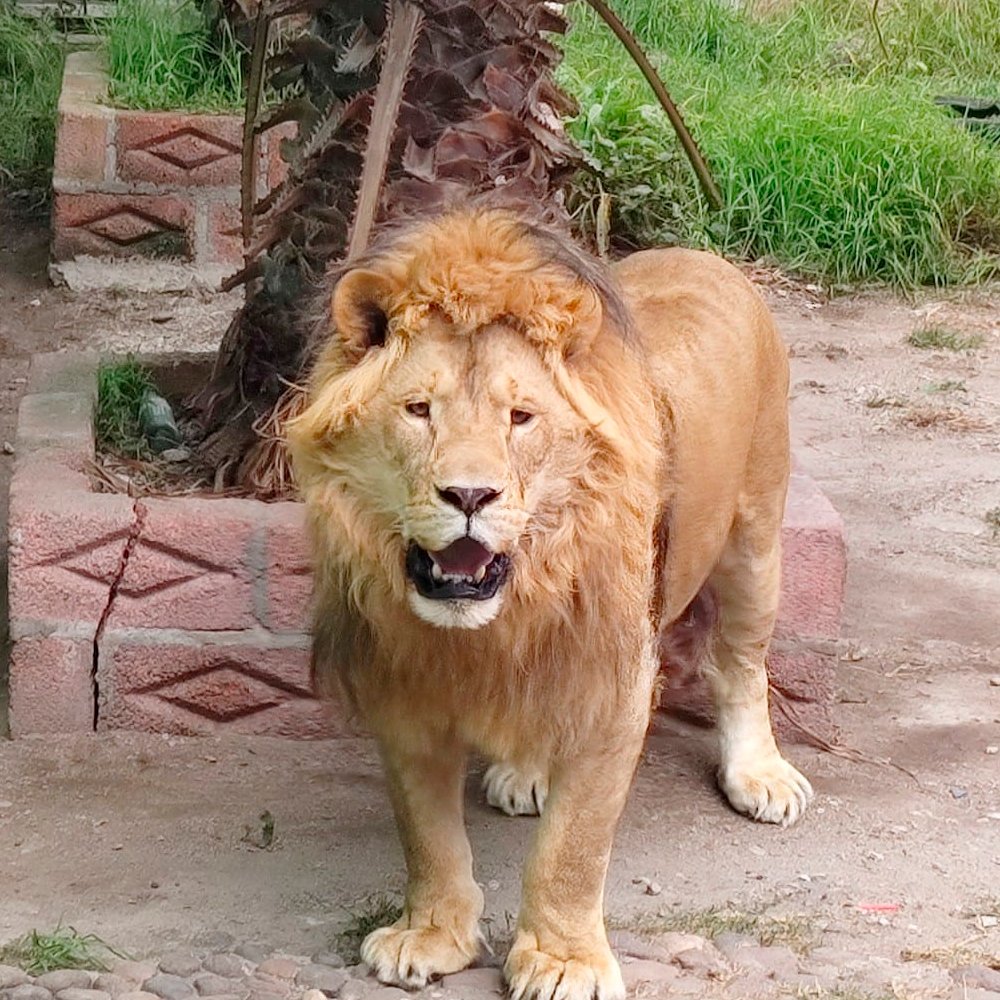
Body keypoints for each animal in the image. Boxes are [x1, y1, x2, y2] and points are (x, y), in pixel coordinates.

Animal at [288, 205, 812, 1000]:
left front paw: (563, 960)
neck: (491, 621)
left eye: (521, 417)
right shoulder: (401, 688)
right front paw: (431, 935)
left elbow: (574, 846)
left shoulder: (615, 683)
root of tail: (704, 256)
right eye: (419, 410)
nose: (469, 495)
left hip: (755, 540)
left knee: (740, 666)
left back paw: (760, 774)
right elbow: (426, 833)